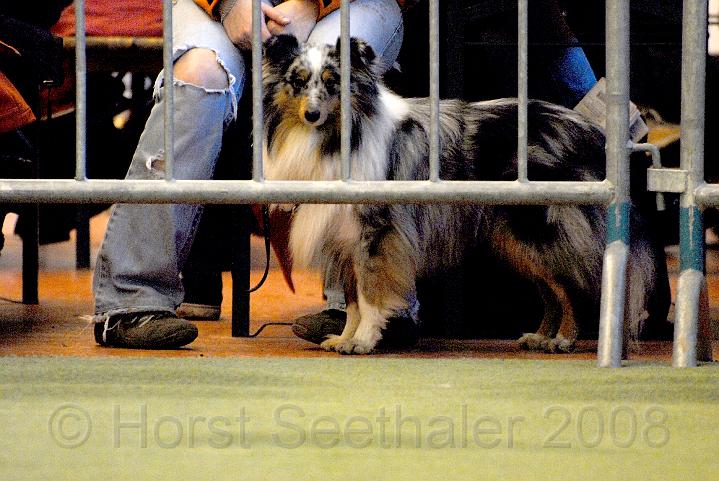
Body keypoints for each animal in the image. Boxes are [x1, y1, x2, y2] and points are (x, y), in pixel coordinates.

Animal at [261, 34, 669, 354]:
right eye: (298, 82)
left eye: (333, 83)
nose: (312, 114)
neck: (339, 136)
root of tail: (590, 131)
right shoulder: (344, 237)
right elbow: (353, 299)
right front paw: (345, 338)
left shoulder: (377, 235)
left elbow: (371, 293)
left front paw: (363, 341)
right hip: (517, 244)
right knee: (552, 291)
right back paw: (541, 336)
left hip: (542, 231)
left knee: (570, 286)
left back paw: (563, 339)